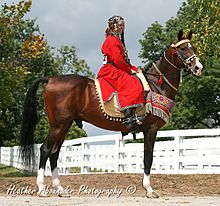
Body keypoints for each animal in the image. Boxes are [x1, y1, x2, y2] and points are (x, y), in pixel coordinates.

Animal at [19, 29, 203, 198]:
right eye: (183, 49)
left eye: (193, 47)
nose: (198, 67)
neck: (156, 84)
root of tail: (51, 79)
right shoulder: (151, 129)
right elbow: (148, 158)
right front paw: (149, 189)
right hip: (58, 125)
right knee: (45, 149)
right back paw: (42, 188)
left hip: (64, 125)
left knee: (54, 152)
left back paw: (60, 189)